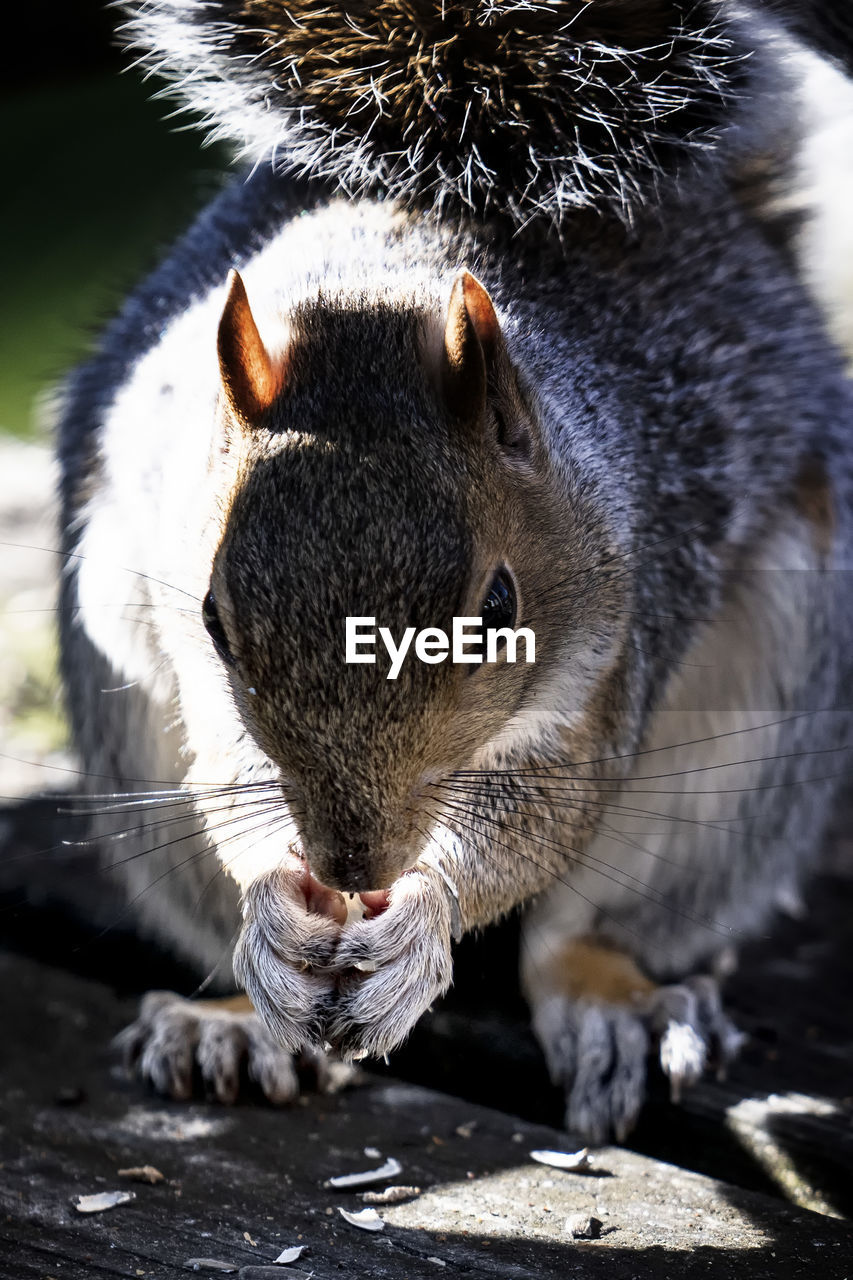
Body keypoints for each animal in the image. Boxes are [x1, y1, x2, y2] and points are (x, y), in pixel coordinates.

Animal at [56, 0, 850, 1141]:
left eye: (499, 605)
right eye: (212, 617)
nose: (352, 868)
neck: (379, 288)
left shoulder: (620, 631)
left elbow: (542, 812)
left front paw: (425, 917)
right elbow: (233, 772)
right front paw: (275, 903)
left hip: (750, 733)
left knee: (587, 927)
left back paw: (615, 1004)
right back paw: (236, 1020)